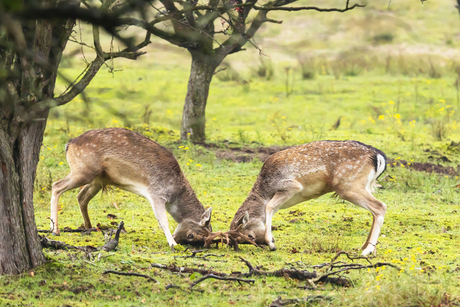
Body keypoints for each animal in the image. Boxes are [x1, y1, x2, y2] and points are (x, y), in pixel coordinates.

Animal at [49, 129, 212, 249]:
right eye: (191, 235)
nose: (177, 239)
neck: (175, 193)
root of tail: (69, 144)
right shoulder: (156, 192)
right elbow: (162, 221)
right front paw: (172, 244)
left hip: (97, 178)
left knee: (81, 197)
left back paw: (89, 228)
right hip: (84, 170)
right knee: (56, 185)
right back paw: (55, 230)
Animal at [232, 141, 386, 256]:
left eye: (250, 236)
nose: (263, 245)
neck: (265, 188)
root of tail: (379, 156)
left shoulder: (292, 186)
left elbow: (268, 206)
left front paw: (271, 243)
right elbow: (271, 207)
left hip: (348, 187)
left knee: (380, 206)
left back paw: (367, 250)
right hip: (361, 186)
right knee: (375, 210)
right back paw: (365, 248)